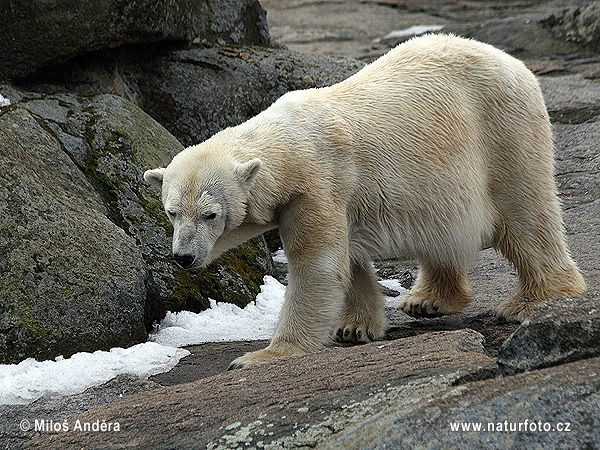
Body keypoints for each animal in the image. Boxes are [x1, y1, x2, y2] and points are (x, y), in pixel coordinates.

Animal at [144, 33, 584, 368]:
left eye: (210, 214)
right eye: (172, 212)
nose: (183, 257)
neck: (290, 143)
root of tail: (513, 62)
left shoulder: (317, 185)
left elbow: (318, 267)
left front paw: (262, 356)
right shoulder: (333, 196)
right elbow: (348, 261)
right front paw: (354, 326)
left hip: (503, 130)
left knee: (525, 213)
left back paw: (533, 300)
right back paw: (427, 300)